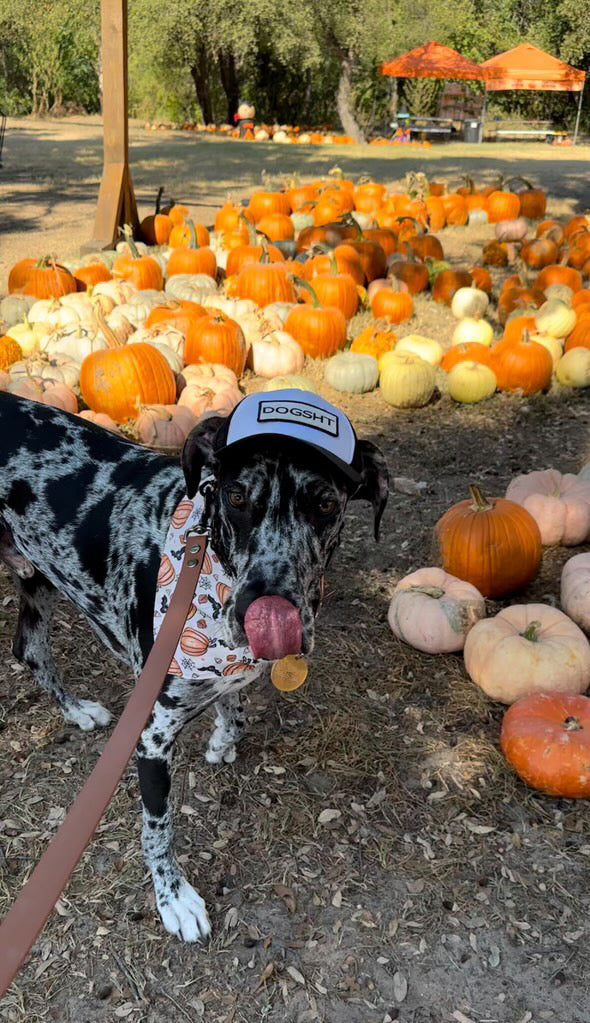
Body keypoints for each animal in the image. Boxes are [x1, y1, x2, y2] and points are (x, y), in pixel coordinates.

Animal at [0, 388, 388, 941]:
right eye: (236, 496)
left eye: (326, 504)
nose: (261, 610)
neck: (207, 568)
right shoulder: (150, 737)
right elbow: (157, 828)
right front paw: (174, 898)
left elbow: (236, 707)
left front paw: (223, 739)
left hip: (38, 578)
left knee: (28, 649)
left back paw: (76, 712)